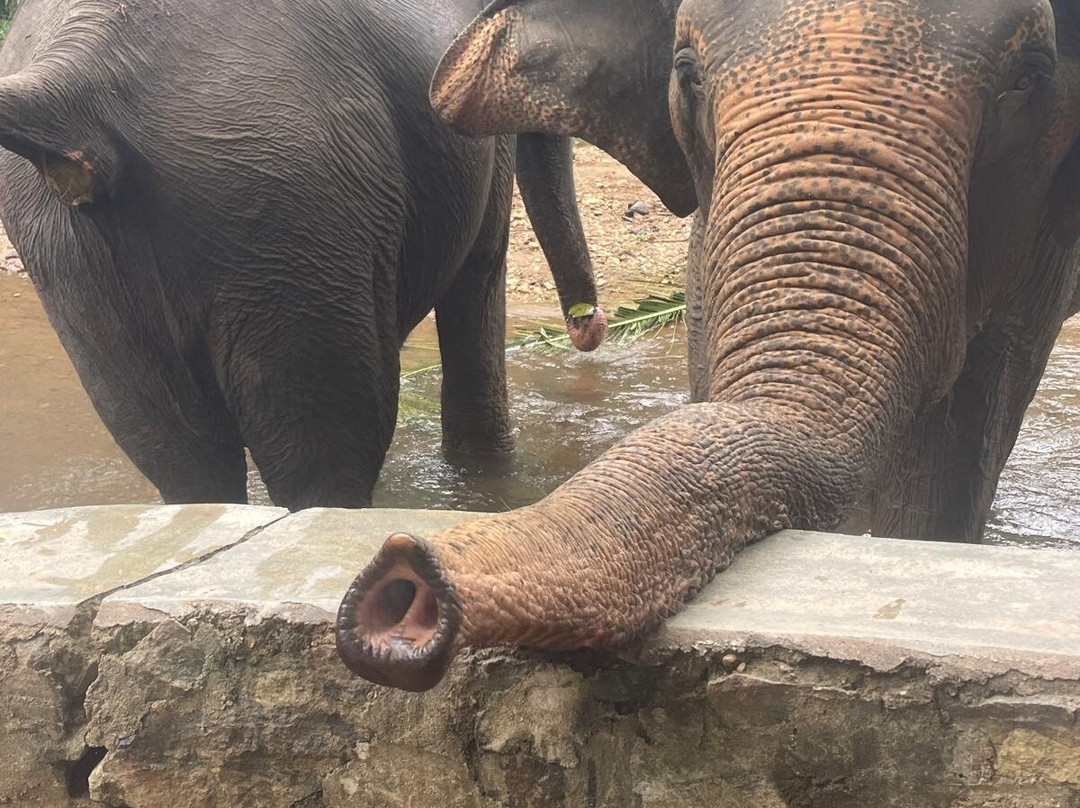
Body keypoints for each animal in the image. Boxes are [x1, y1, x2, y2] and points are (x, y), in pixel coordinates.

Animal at [0, 0, 610, 510]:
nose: (589, 326)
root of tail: (69, 86)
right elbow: (479, 275)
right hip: (290, 208)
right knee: (327, 450)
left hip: (78, 252)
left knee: (180, 452)